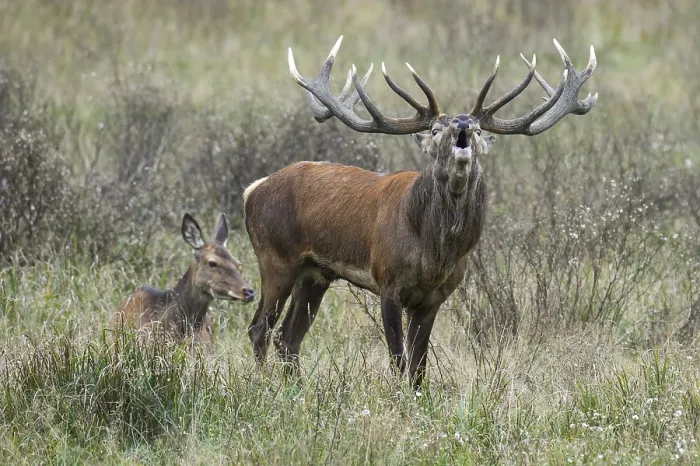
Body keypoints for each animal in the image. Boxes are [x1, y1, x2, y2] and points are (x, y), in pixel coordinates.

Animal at [243, 36, 597, 387]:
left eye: (479, 131)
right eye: (436, 130)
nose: (462, 124)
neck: (433, 255)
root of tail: (253, 190)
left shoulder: (433, 299)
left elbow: (419, 367)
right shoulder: (387, 283)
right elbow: (399, 361)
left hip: (316, 272)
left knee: (288, 337)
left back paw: (295, 389)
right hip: (275, 257)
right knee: (259, 328)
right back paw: (262, 385)